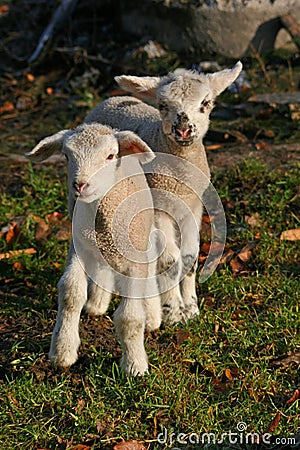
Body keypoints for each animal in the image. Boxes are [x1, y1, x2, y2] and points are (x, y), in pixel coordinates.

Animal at [25, 123, 162, 376]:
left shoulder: (135, 257)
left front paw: (134, 365)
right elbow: (70, 292)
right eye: (66, 155)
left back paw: (152, 315)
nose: (80, 185)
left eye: (110, 156)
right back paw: (97, 304)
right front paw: (63, 351)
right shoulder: (78, 249)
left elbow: (129, 317)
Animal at [84, 61, 244, 326]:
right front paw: (173, 312)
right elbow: (170, 260)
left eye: (206, 103)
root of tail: (110, 100)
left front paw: (191, 308)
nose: (183, 130)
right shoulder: (159, 207)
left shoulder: (193, 208)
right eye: (162, 105)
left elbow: (189, 258)